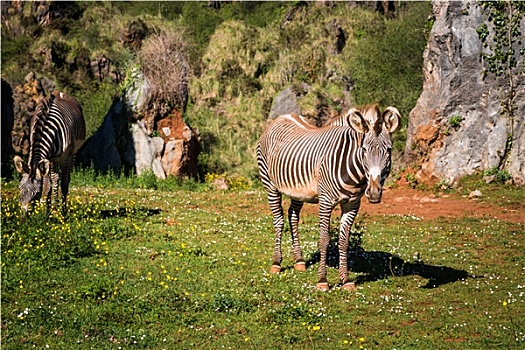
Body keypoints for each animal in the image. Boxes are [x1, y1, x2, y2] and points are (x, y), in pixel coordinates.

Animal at [256, 104, 400, 290]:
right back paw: (276, 263)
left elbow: (344, 241)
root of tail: (282, 117)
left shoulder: (352, 204)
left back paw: (299, 260)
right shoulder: (325, 201)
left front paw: (346, 280)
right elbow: (324, 239)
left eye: (388, 150)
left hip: (298, 191)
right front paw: (322, 280)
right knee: (278, 220)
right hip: (270, 184)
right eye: (364, 149)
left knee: (292, 216)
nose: (374, 193)